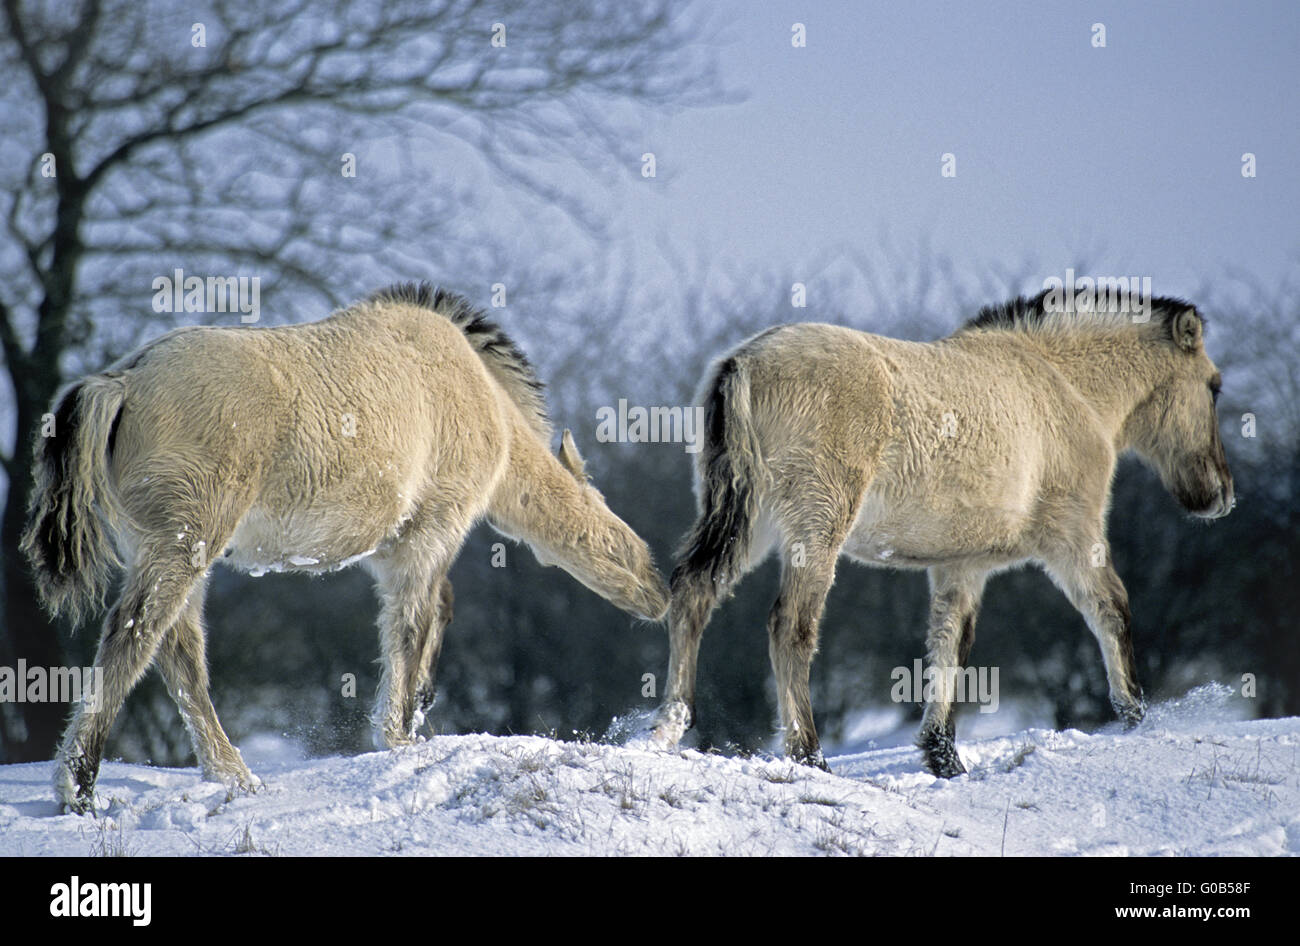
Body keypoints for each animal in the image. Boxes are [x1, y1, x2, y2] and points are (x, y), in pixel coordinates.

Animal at [22, 282, 670, 813]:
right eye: (620, 540)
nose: (661, 596)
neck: (477, 397)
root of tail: (123, 381)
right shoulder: (429, 537)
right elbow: (410, 628)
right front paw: (400, 734)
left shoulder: (397, 553)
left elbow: (434, 614)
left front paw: (417, 711)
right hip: (181, 548)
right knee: (132, 640)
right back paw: (79, 787)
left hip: (172, 552)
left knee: (180, 657)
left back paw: (233, 776)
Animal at [649, 291, 1233, 776]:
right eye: (1214, 387)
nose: (1221, 495)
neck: (1064, 386)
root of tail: (744, 362)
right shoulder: (1073, 535)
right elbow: (1111, 608)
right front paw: (1134, 712)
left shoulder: (962, 565)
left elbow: (950, 646)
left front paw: (943, 755)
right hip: (816, 529)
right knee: (791, 627)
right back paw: (808, 753)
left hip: (748, 524)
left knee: (694, 592)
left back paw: (671, 725)